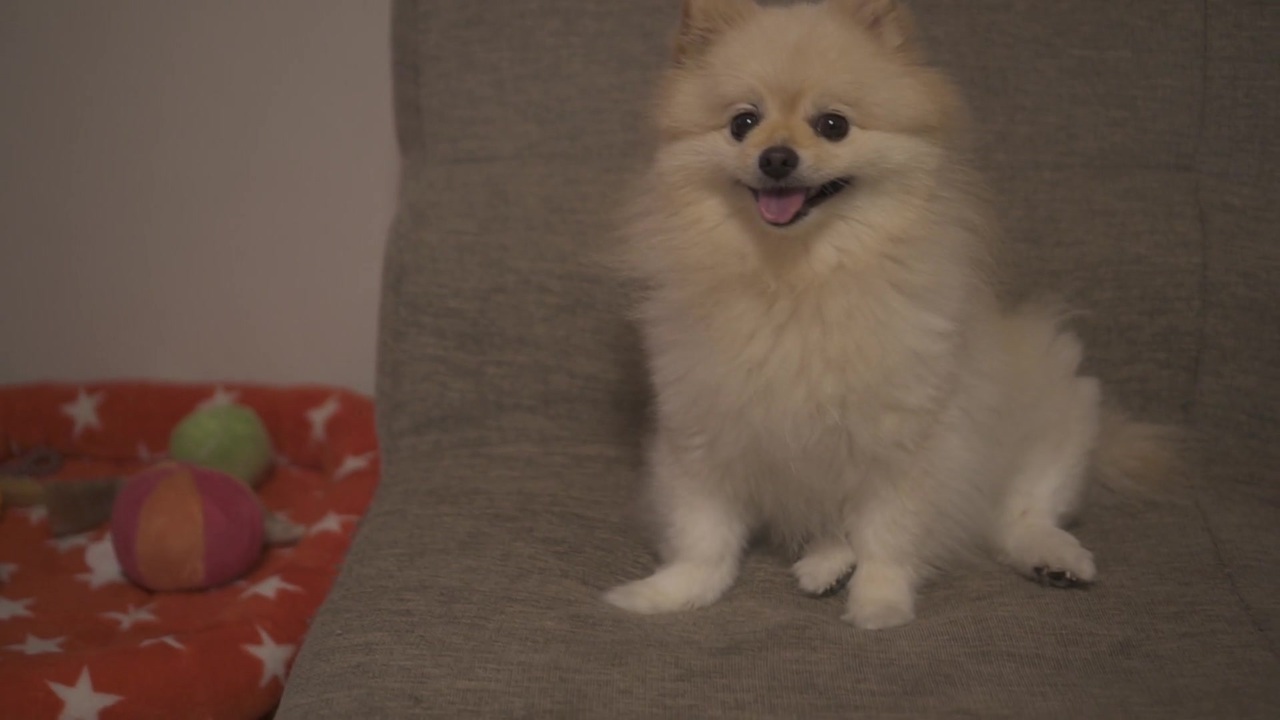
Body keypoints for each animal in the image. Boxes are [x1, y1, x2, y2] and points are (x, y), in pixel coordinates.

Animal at [603, 0, 1173, 629]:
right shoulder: (702, 433)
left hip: (1059, 395)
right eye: (742, 123)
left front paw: (880, 603)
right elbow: (703, 537)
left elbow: (889, 535)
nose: (776, 157)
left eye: (833, 125)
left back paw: (1053, 555)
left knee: (1021, 508)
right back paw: (824, 562)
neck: (801, 279)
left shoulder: (904, 444)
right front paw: (667, 594)